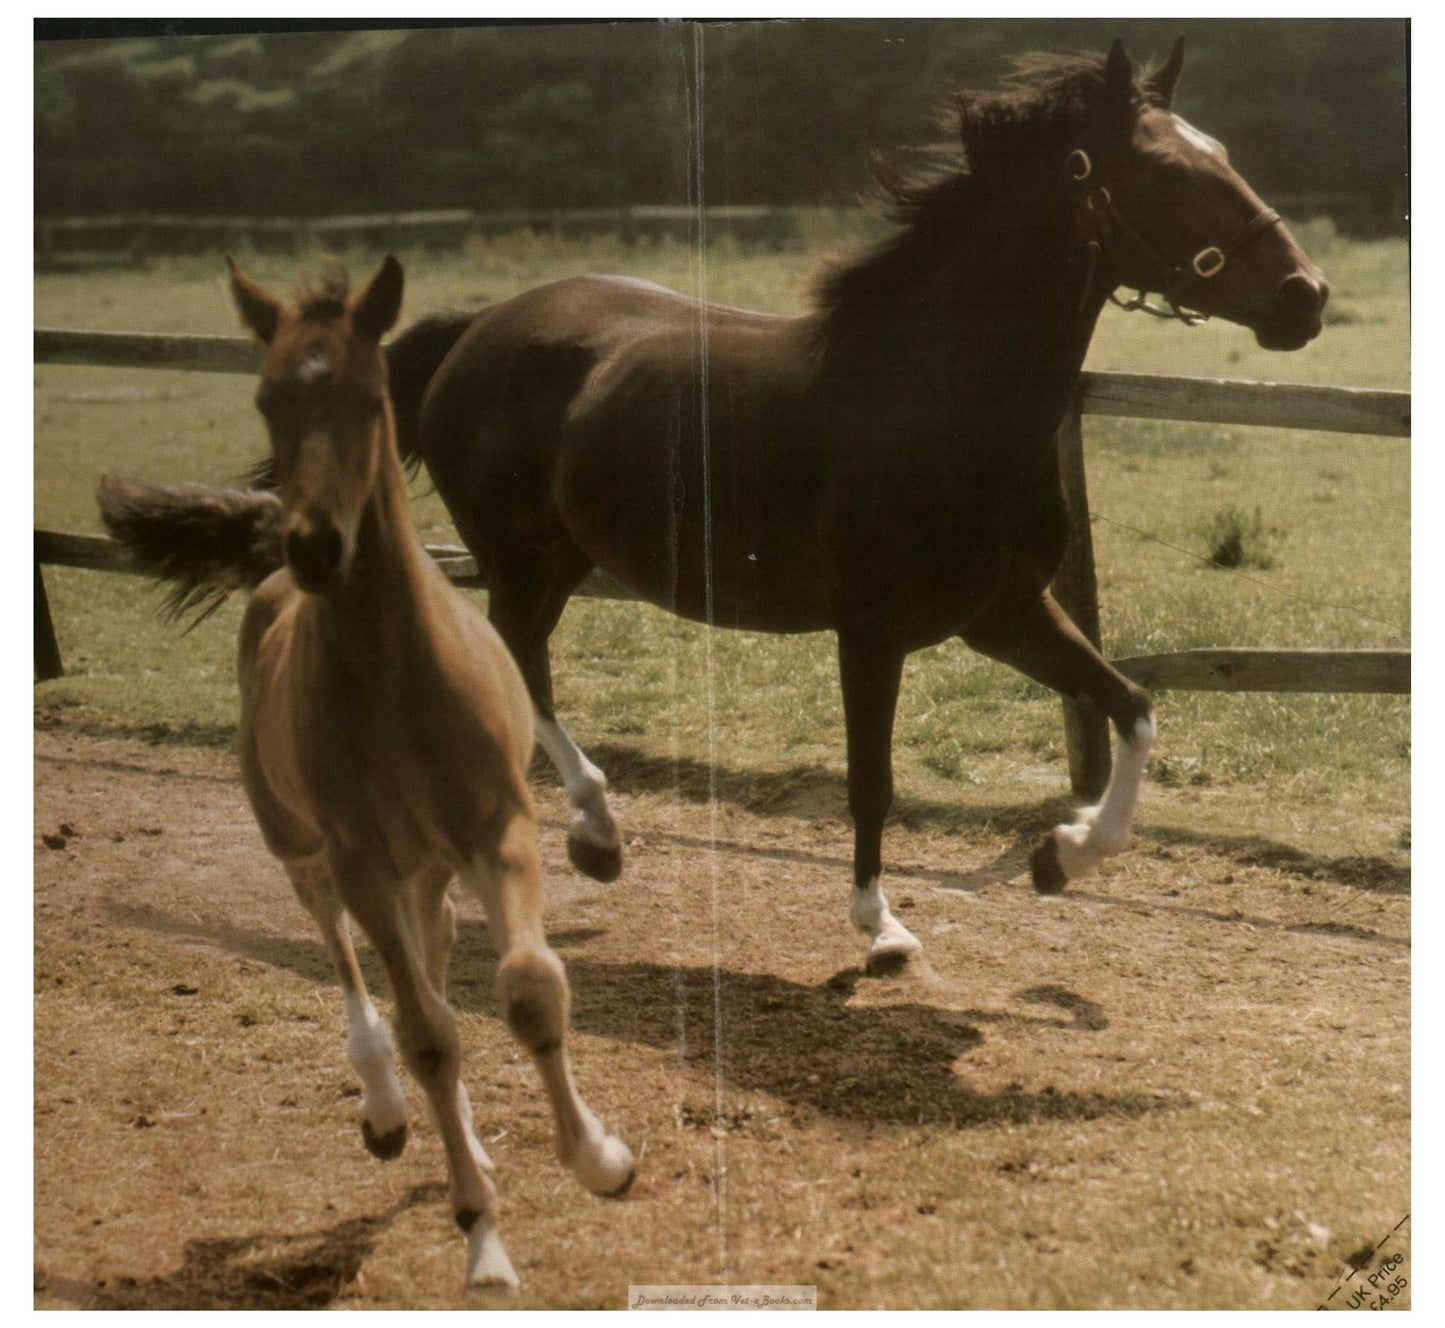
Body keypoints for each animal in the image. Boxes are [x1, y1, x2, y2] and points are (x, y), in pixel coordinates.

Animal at [98, 256, 635, 1289]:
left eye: (372, 396)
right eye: (265, 398)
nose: (315, 545)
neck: (395, 675)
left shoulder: (499, 831)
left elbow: (527, 988)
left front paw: (599, 1159)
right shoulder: (359, 859)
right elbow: (427, 1032)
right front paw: (482, 1237)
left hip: (427, 866)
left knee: (435, 953)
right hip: (305, 849)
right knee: (359, 975)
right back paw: (386, 1112)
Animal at [360, 39, 1327, 975]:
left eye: (1222, 155)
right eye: (1165, 173)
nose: (1305, 295)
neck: (933, 398)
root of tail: (476, 327)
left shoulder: (1005, 614)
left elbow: (1131, 705)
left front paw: (1060, 855)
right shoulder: (869, 630)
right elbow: (872, 781)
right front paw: (881, 928)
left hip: (557, 565)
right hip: (519, 563)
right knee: (517, 676)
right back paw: (592, 836)